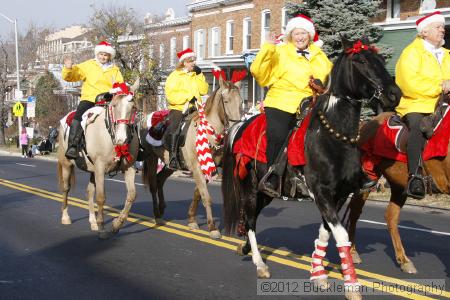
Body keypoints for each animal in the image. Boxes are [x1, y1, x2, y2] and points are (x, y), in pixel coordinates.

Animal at [57, 79, 140, 239]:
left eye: (133, 108)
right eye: (114, 105)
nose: (122, 139)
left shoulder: (129, 168)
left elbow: (132, 195)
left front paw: (116, 224)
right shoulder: (101, 167)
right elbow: (101, 197)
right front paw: (102, 227)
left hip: (92, 170)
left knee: (89, 192)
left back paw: (93, 222)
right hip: (67, 165)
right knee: (65, 188)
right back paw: (65, 217)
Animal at [142, 77, 244, 239]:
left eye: (240, 102)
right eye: (226, 101)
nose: (236, 128)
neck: (209, 133)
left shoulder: (207, 168)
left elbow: (198, 194)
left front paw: (191, 219)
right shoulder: (197, 168)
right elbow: (206, 197)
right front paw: (212, 228)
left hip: (170, 164)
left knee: (160, 180)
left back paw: (162, 208)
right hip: (151, 159)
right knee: (153, 185)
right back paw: (157, 215)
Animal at [221, 36, 400, 298]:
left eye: (380, 59)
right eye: (361, 60)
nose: (394, 94)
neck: (334, 137)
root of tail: (240, 126)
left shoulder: (339, 195)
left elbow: (325, 232)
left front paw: (318, 273)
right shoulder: (322, 193)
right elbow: (341, 235)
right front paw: (351, 285)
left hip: (266, 193)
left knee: (252, 216)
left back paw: (244, 248)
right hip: (251, 188)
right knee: (251, 219)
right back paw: (260, 264)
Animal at [342, 110, 448, 274]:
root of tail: (366, 124)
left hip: (399, 186)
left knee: (390, 216)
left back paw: (404, 260)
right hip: (368, 179)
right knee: (355, 212)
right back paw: (353, 252)